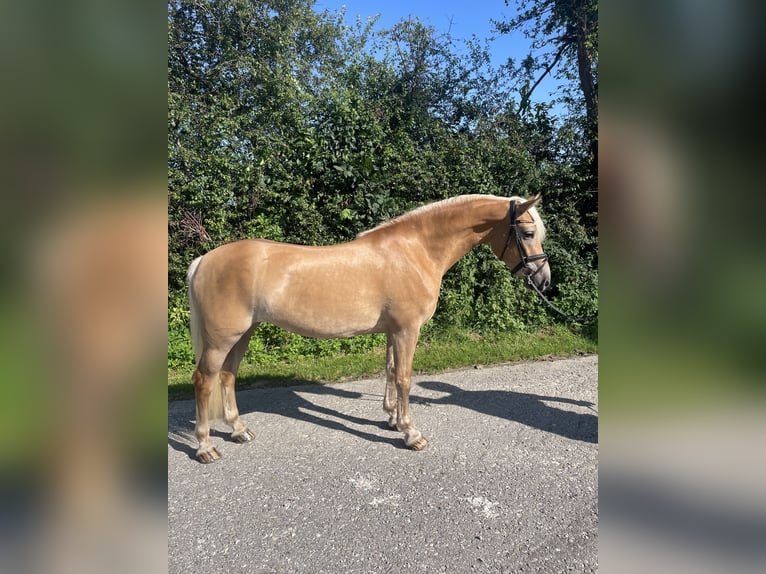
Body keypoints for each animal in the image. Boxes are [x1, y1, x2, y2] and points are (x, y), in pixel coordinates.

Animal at [187, 194, 552, 464]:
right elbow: (404, 378)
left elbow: (389, 371)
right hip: (222, 339)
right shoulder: (407, 330)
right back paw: (205, 447)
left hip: (242, 335)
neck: (415, 251)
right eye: (528, 233)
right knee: (205, 380)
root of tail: (204, 260)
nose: (544, 280)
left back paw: (238, 430)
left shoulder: (393, 331)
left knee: (227, 377)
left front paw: (391, 419)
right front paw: (411, 434)